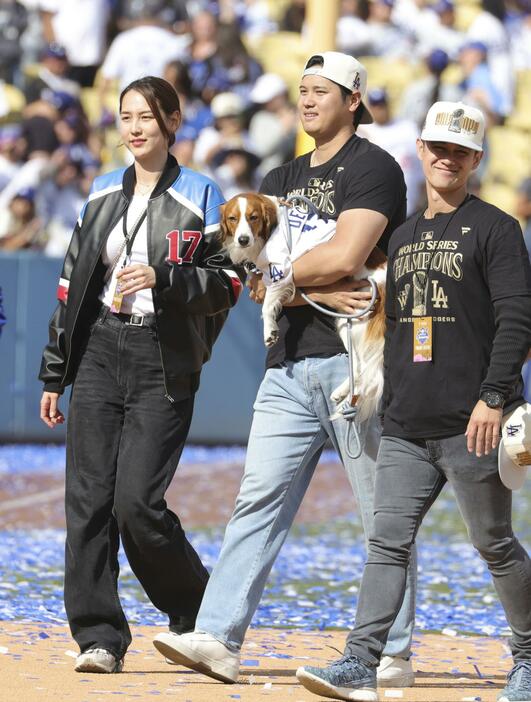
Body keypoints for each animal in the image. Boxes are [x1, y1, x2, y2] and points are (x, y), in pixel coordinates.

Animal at [218, 192, 388, 420]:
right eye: (232, 219)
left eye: (253, 217)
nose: (243, 240)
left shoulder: (280, 270)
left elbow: (267, 303)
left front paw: (269, 331)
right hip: (346, 322)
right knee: (359, 366)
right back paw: (342, 393)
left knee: (367, 370)